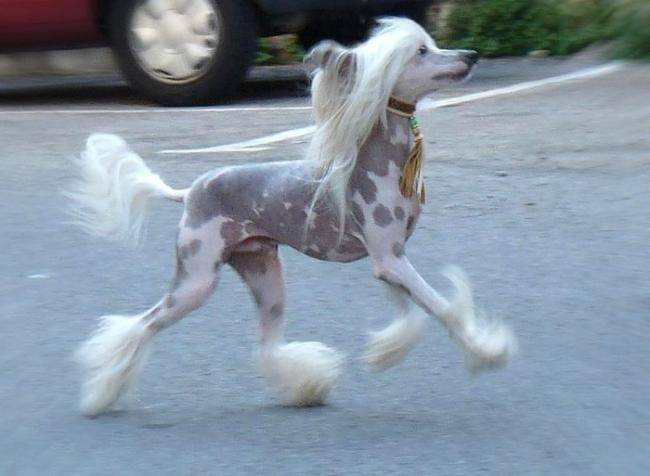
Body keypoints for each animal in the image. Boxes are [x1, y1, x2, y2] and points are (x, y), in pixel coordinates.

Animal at [68, 17, 516, 417]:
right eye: (421, 52)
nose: (472, 55)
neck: (381, 161)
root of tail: (189, 192)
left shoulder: (388, 260)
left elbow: (411, 314)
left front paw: (385, 352)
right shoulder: (390, 258)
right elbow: (444, 309)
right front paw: (486, 352)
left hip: (263, 271)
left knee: (267, 345)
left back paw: (305, 387)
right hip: (196, 279)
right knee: (141, 326)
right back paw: (102, 393)